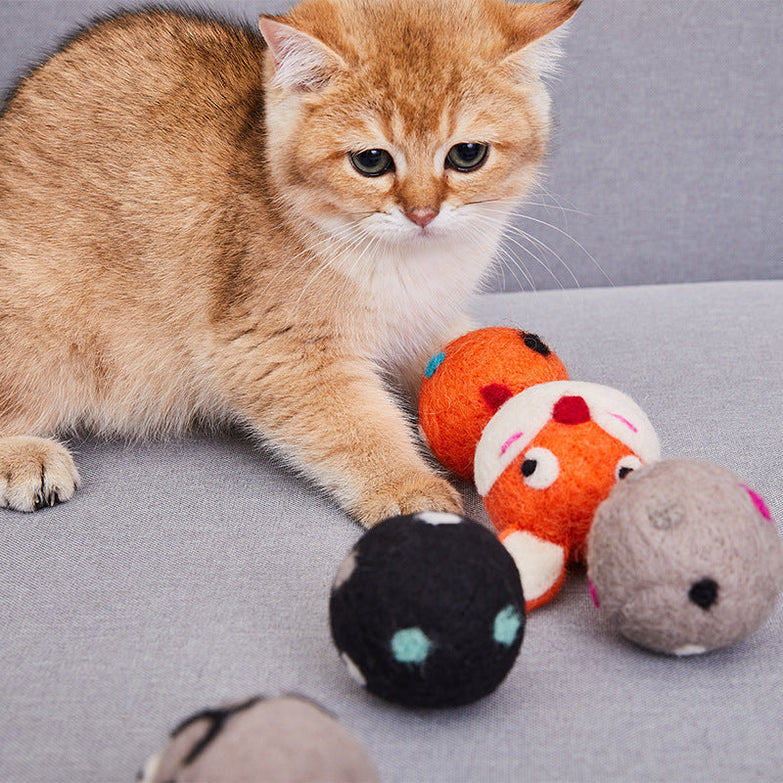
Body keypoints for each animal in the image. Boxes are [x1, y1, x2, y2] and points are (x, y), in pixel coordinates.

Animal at [0, 1, 576, 528]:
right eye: (371, 161)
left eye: (467, 154)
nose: (422, 212)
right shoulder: (275, 349)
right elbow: (358, 425)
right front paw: (407, 485)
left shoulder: (421, 321)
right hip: (49, 333)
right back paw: (27, 458)